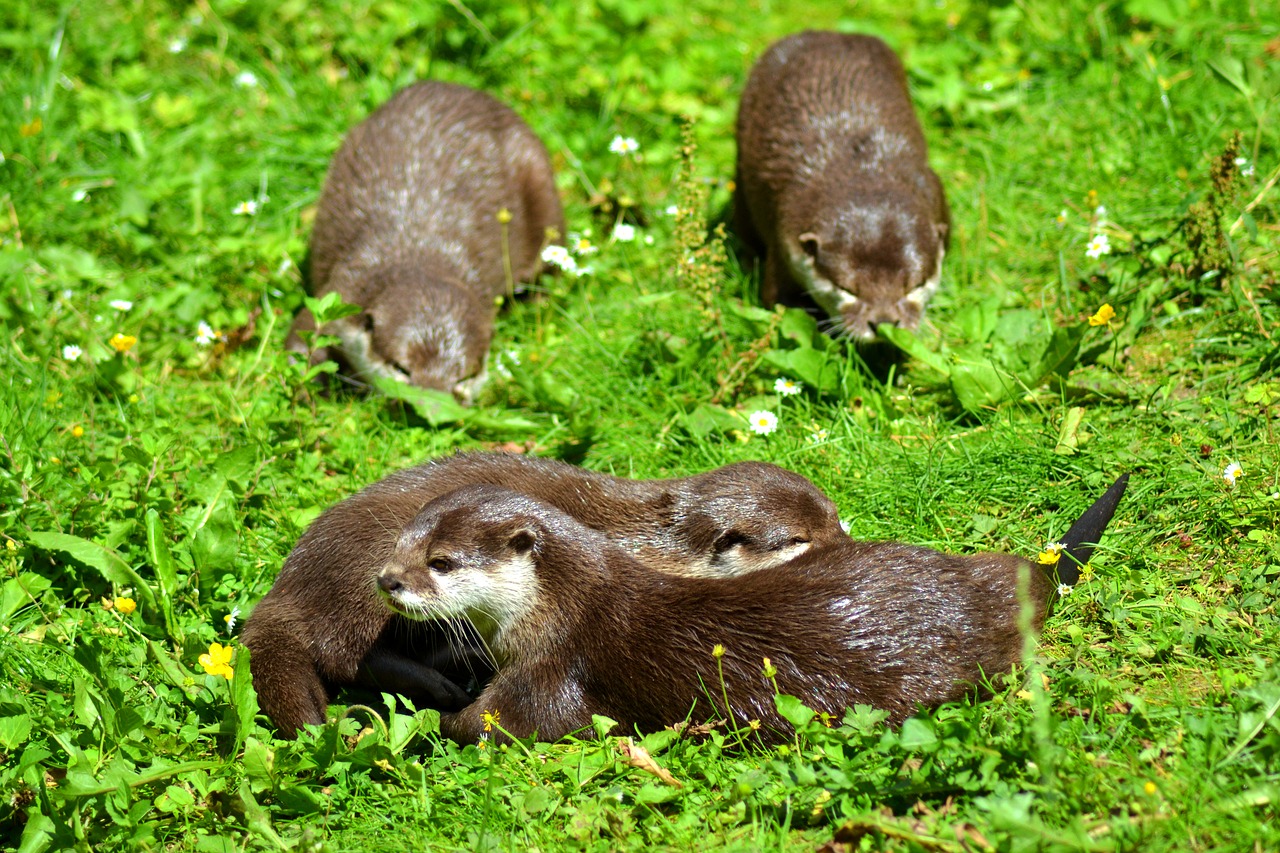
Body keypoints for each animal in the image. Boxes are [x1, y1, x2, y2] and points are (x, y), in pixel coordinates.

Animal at [241, 450, 849, 737]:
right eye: (799, 539)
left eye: (835, 518)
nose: (846, 545)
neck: (660, 546)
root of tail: (292, 583)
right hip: (367, 580)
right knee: (347, 654)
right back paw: (441, 681)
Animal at [293, 79, 568, 399]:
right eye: (401, 369)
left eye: (464, 378)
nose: (429, 404)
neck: (416, 253)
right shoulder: (342, 294)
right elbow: (302, 338)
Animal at [373, 473, 1126, 742]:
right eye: (402, 540)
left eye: (441, 562)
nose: (387, 581)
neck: (564, 604)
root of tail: (989, 585)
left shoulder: (555, 672)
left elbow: (485, 725)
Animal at [732, 33, 952, 338]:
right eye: (848, 289)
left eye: (914, 286)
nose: (883, 322)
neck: (862, 170)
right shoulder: (782, 237)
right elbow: (779, 304)